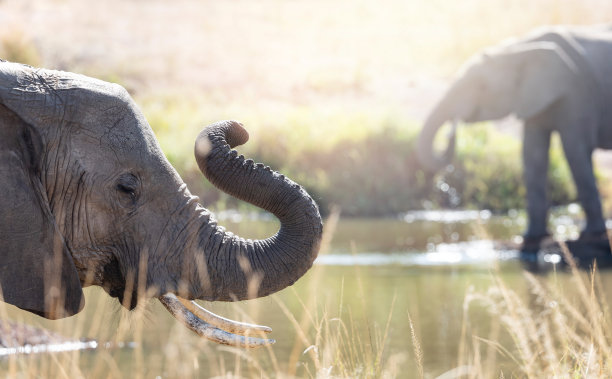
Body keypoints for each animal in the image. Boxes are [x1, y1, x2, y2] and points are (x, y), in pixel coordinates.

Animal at [416, 24, 612, 252]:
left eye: (482, 87)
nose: (452, 131)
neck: (517, 50)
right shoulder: (533, 99)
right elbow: (532, 156)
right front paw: (531, 238)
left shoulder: (576, 93)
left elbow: (575, 152)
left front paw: (591, 235)